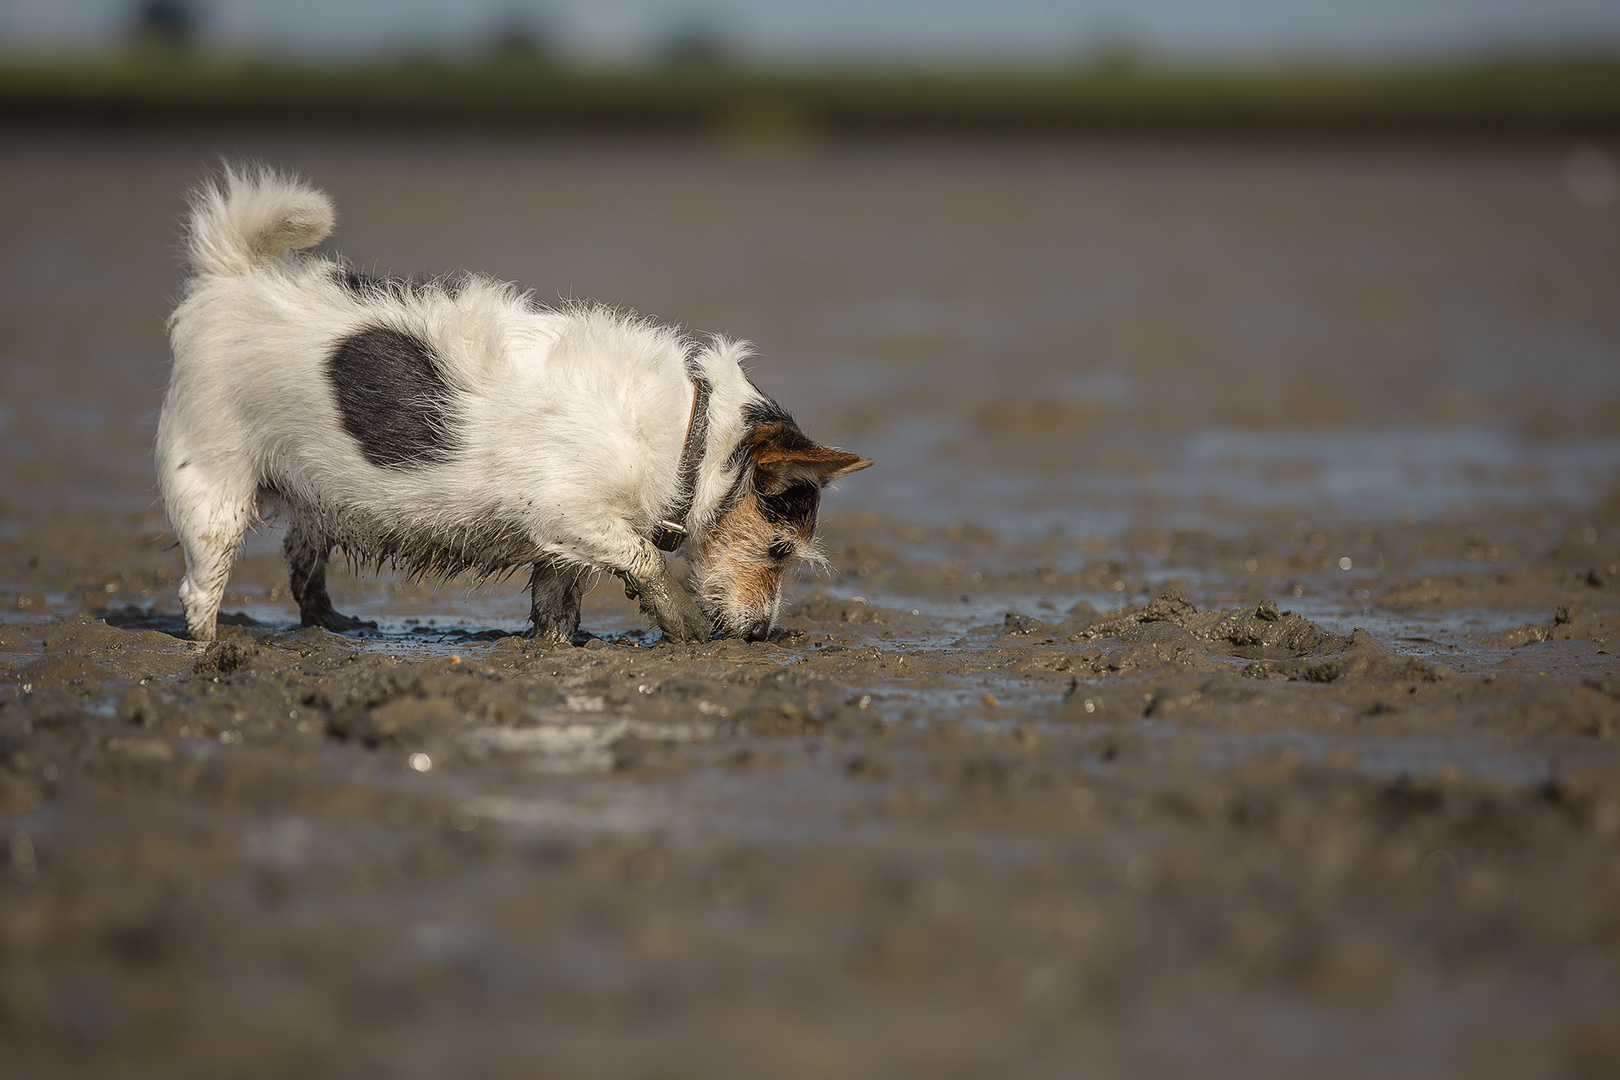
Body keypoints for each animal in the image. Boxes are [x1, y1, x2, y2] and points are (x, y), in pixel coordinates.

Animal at [157, 165, 874, 647]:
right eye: (780, 552)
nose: (759, 633)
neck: (686, 436)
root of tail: (233, 276)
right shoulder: (572, 513)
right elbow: (644, 561)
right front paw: (684, 623)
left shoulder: (562, 550)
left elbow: (558, 606)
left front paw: (557, 651)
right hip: (212, 491)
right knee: (199, 592)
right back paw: (211, 649)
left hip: (313, 496)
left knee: (303, 565)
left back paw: (333, 624)